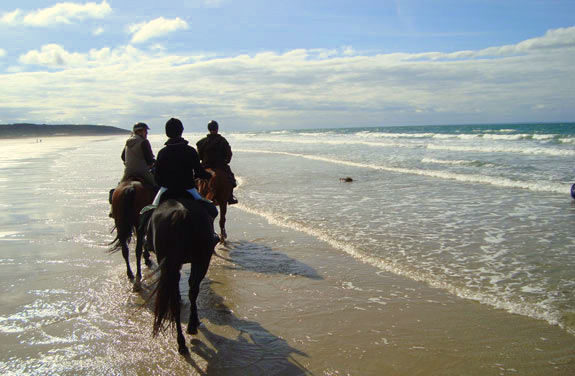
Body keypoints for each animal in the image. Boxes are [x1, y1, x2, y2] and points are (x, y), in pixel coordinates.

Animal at [147, 195, 215, 356]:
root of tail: (181, 213)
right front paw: (194, 322)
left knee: (176, 301)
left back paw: (181, 341)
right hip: (202, 260)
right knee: (191, 291)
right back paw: (189, 329)